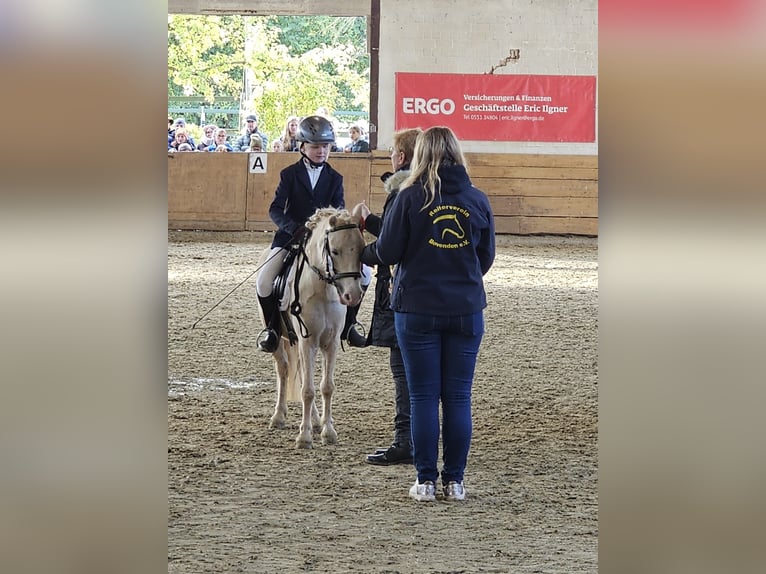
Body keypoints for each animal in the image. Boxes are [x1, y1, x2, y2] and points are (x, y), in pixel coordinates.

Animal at [256, 207, 368, 450]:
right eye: (334, 251)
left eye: (361, 250)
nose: (352, 296)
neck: (324, 289)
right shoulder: (308, 341)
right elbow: (307, 390)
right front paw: (304, 437)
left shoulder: (330, 343)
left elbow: (326, 387)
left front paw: (328, 432)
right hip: (282, 340)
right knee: (284, 370)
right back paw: (278, 417)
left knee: (302, 374)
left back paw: (316, 421)